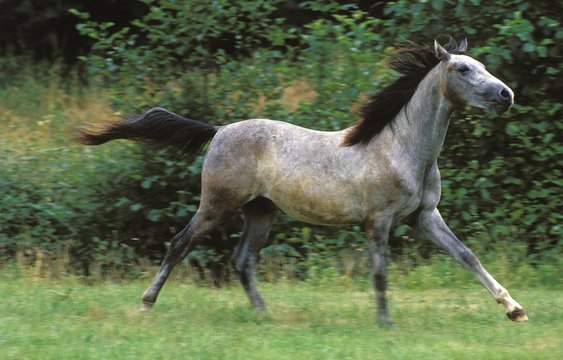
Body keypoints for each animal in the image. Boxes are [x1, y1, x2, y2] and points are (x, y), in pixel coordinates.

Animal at [78, 38, 528, 326]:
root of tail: (220, 130)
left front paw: (514, 309)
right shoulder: (378, 222)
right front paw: (385, 323)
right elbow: (380, 273)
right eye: (463, 69)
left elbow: (467, 256)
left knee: (242, 261)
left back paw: (266, 316)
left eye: (483, 66)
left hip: (261, 213)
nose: (506, 95)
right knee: (180, 244)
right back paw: (145, 305)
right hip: (218, 205)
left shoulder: (425, 216)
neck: (402, 149)